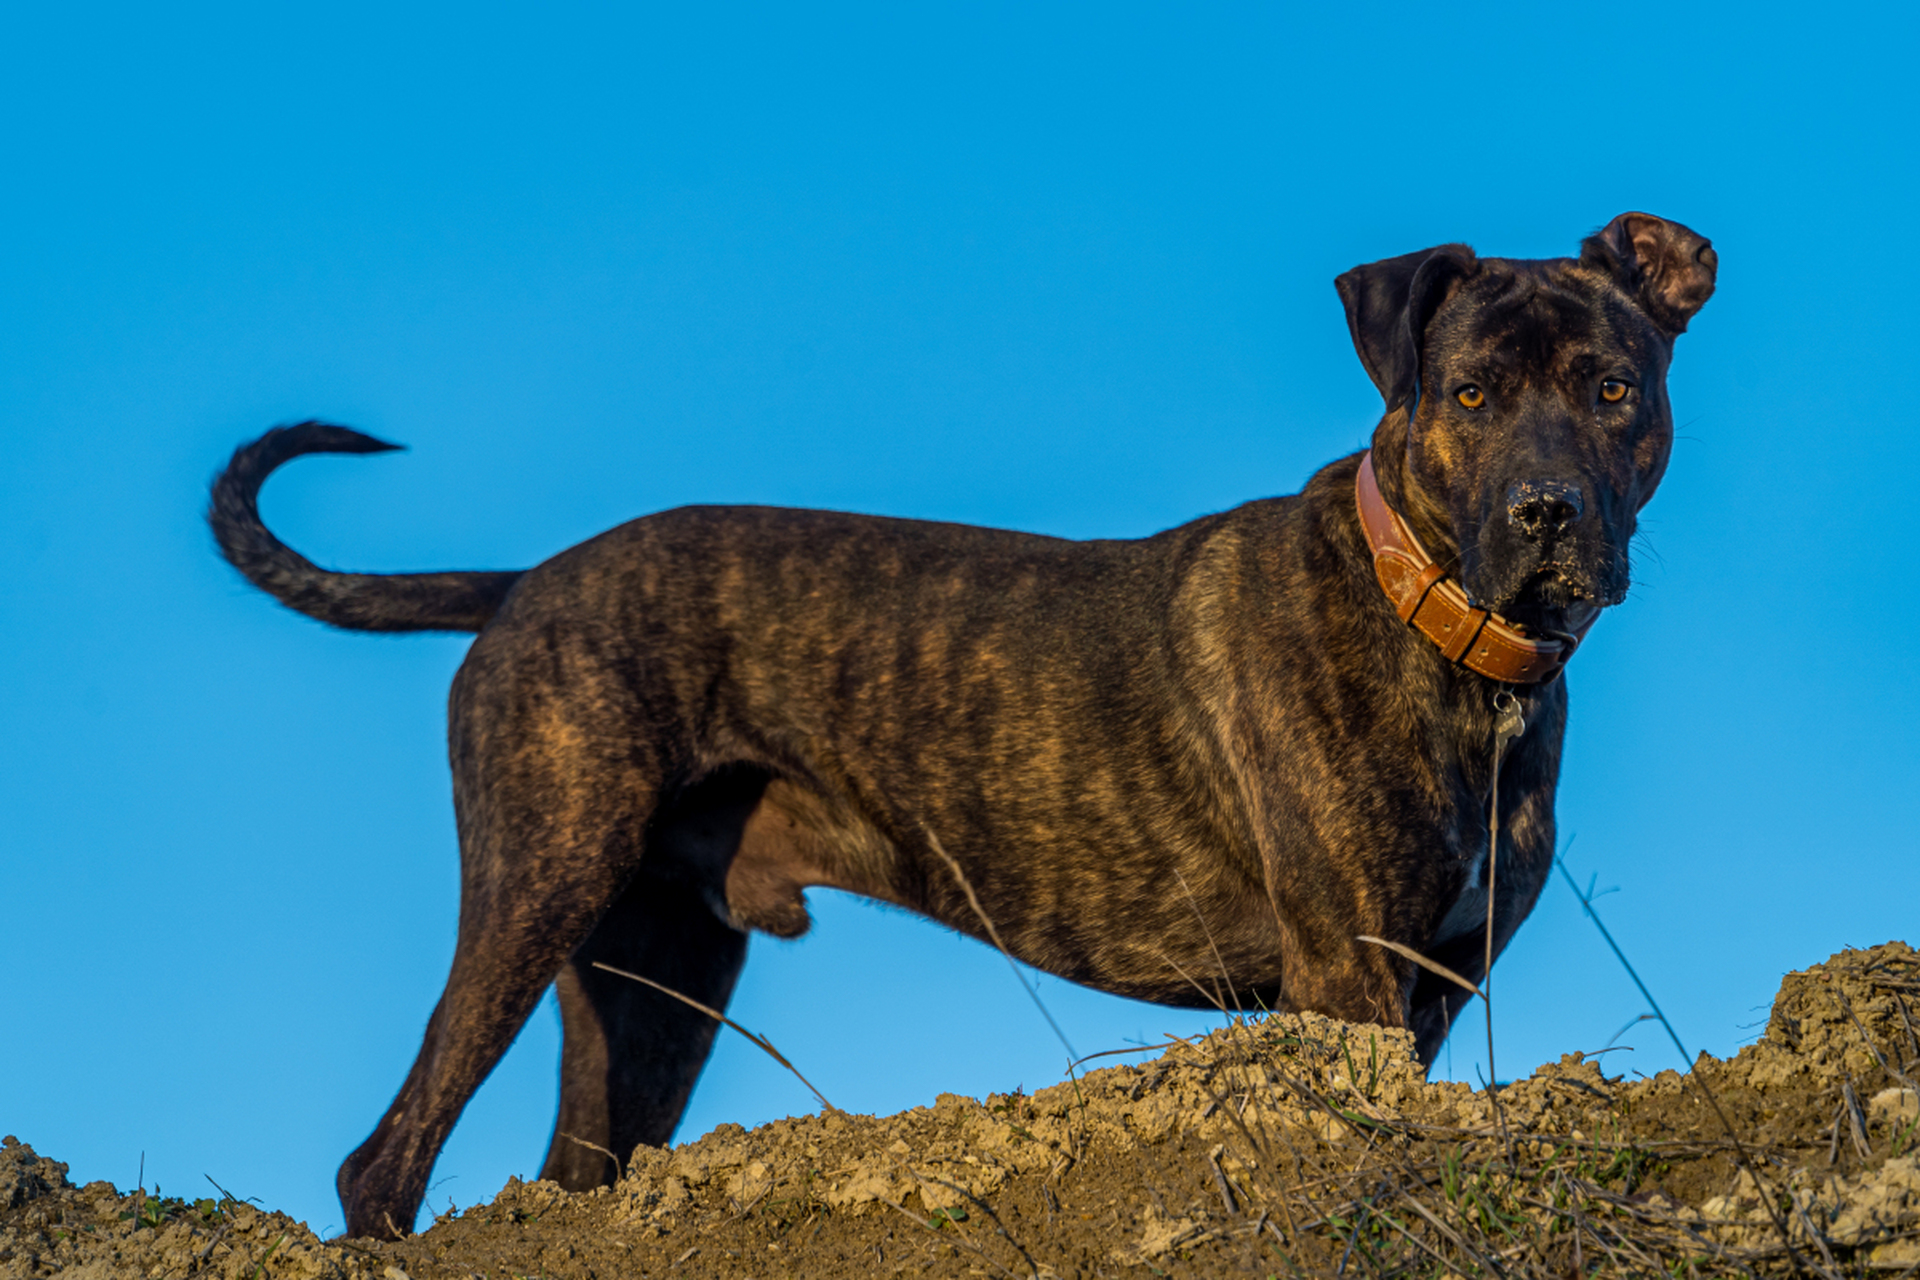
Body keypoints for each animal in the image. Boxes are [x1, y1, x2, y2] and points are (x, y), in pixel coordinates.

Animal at [210, 213, 1728, 1243]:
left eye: (1613, 388)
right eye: (1470, 393)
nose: (1548, 514)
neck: (1448, 639)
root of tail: (524, 580)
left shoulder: (1436, 987)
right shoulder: (1348, 977)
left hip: (658, 971)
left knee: (576, 1165)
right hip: (545, 871)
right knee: (384, 1156)